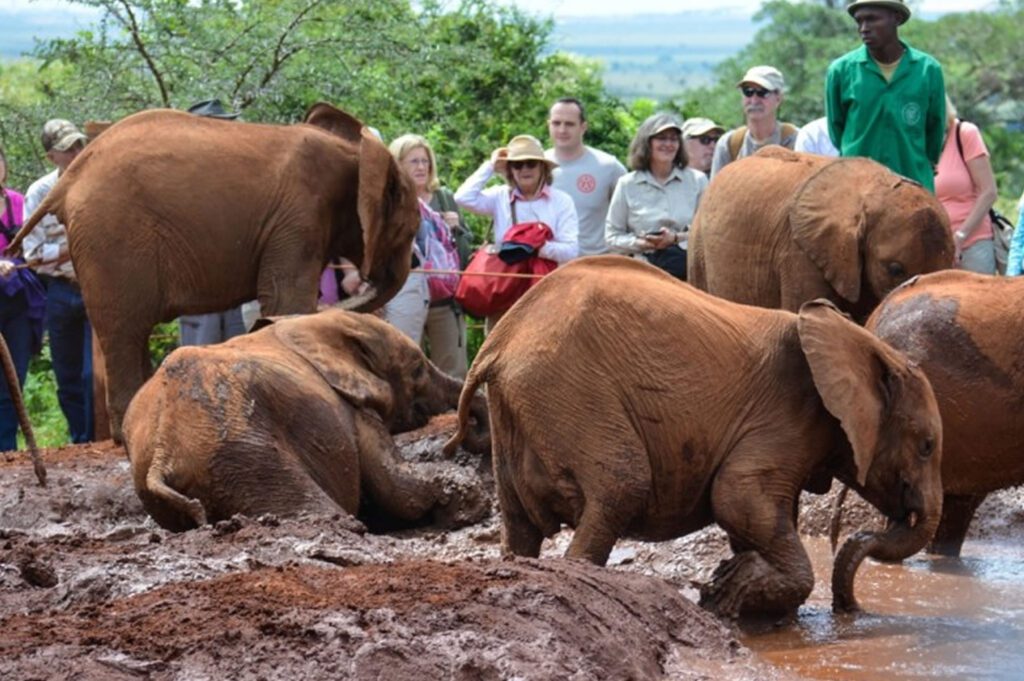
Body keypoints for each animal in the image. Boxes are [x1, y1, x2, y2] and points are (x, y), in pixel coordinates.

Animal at [7, 103, 420, 442]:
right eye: (411, 230)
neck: (357, 154)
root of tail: (68, 179)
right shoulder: (299, 217)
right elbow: (287, 298)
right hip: (112, 237)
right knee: (123, 332)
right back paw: (126, 436)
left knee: (131, 335)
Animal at [122, 309, 490, 532]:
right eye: (416, 371)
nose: (455, 442)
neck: (313, 320)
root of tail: (162, 454)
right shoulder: (353, 410)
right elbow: (397, 487)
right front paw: (470, 505)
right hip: (243, 456)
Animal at [445, 257, 943, 618]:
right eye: (927, 446)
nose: (850, 610)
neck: (863, 342)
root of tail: (498, 343)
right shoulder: (787, 416)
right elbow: (736, 498)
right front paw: (729, 593)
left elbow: (758, 516)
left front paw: (744, 598)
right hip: (569, 392)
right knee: (622, 485)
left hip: (520, 411)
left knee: (520, 527)